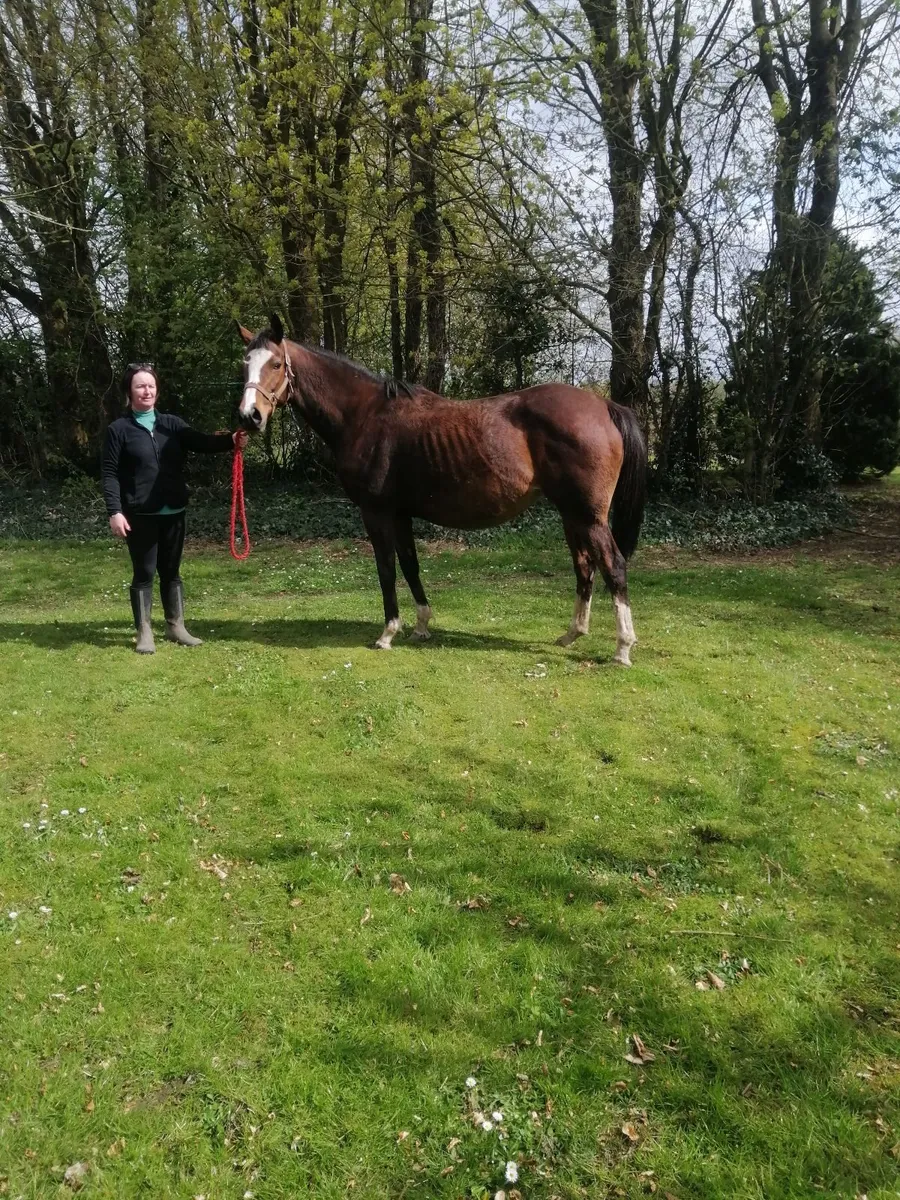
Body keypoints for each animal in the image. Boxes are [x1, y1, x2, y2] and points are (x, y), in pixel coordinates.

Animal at [236, 315, 647, 665]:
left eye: (276, 364)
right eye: (245, 363)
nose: (248, 416)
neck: (365, 415)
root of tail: (605, 405)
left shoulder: (376, 512)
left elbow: (386, 568)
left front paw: (388, 633)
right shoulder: (400, 514)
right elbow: (410, 564)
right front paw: (420, 625)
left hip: (588, 515)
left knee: (613, 566)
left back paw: (623, 648)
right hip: (571, 513)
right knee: (585, 565)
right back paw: (572, 634)